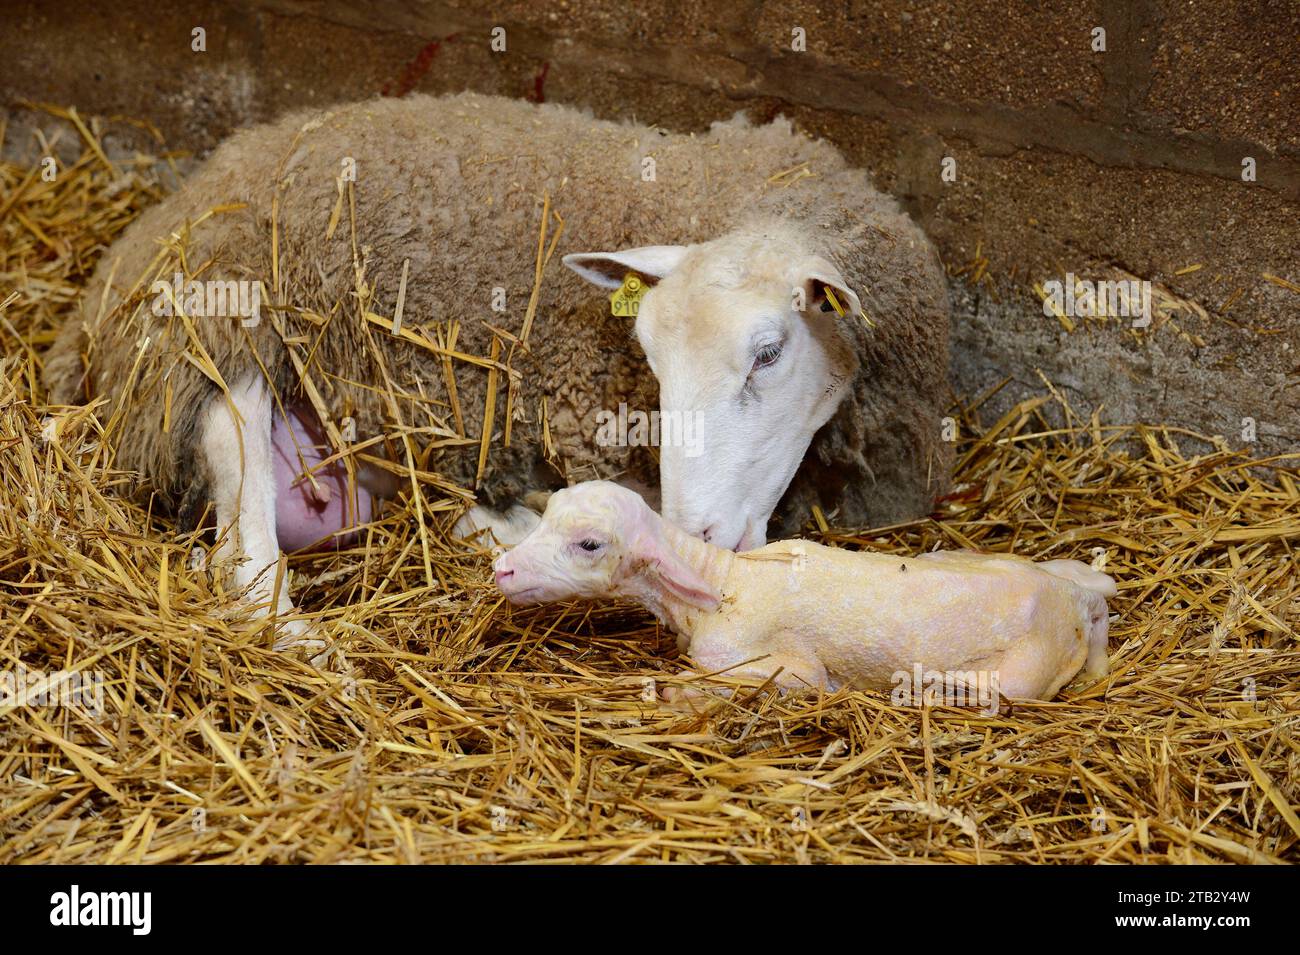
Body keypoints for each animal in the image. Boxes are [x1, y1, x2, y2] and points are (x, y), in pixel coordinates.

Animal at [493, 482, 1116, 702]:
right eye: (547, 513)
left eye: (589, 544)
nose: (503, 571)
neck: (724, 582)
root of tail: (1067, 598)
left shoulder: (775, 665)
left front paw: (675, 694)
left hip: (1023, 672)